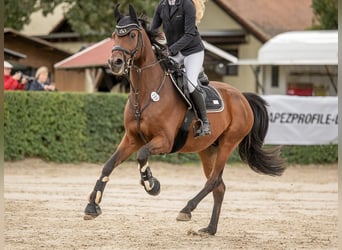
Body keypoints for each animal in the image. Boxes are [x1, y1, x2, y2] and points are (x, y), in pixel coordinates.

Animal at [83, 3, 286, 235]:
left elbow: (142, 156)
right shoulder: (132, 139)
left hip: (228, 143)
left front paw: (151, 184)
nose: (115, 62)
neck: (147, 92)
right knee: (219, 186)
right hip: (208, 149)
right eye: (114, 35)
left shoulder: (164, 141)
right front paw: (92, 205)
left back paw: (186, 209)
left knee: (213, 181)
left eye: (132, 35)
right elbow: (108, 165)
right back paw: (209, 229)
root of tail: (242, 96)